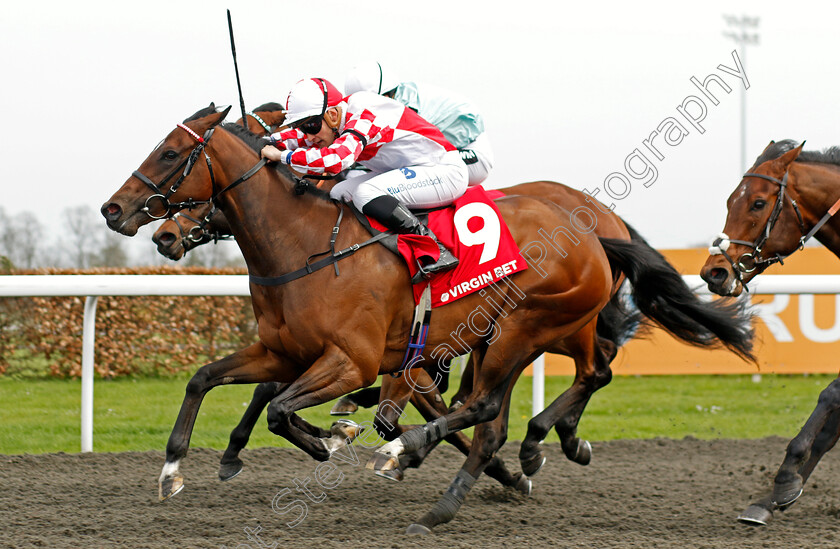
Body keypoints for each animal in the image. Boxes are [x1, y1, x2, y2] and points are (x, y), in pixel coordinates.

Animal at [700, 139, 840, 524]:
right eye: (730, 200)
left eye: (758, 203)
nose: (713, 273)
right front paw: (771, 498)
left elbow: (831, 395)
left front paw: (786, 478)